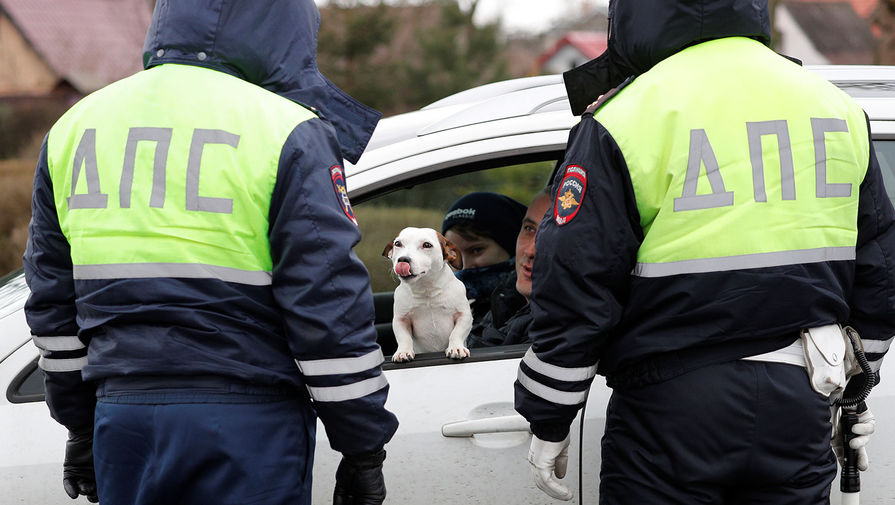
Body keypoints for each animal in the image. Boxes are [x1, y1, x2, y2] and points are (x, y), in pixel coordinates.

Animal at [382, 225, 472, 362]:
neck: (426, 289)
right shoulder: (401, 320)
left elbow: (456, 333)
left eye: (427, 245)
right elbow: (404, 338)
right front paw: (403, 351)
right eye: (397, 244)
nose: (403, 259)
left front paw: (456, 347)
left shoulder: (464, 316)